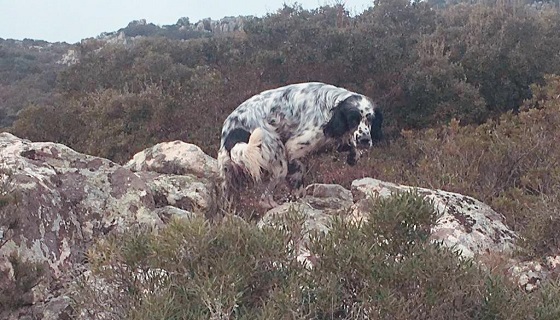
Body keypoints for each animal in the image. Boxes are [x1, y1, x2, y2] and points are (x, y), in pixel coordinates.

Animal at [217, 81, 382, 209]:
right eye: (353, 119)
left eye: (370, 119)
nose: (365, 140)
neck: (330, 106)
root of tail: (233, 131)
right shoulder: (293, 147)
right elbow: (298, 176)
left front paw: (354, 154)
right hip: (278, 162)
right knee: (264, 198)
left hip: (228, 176)